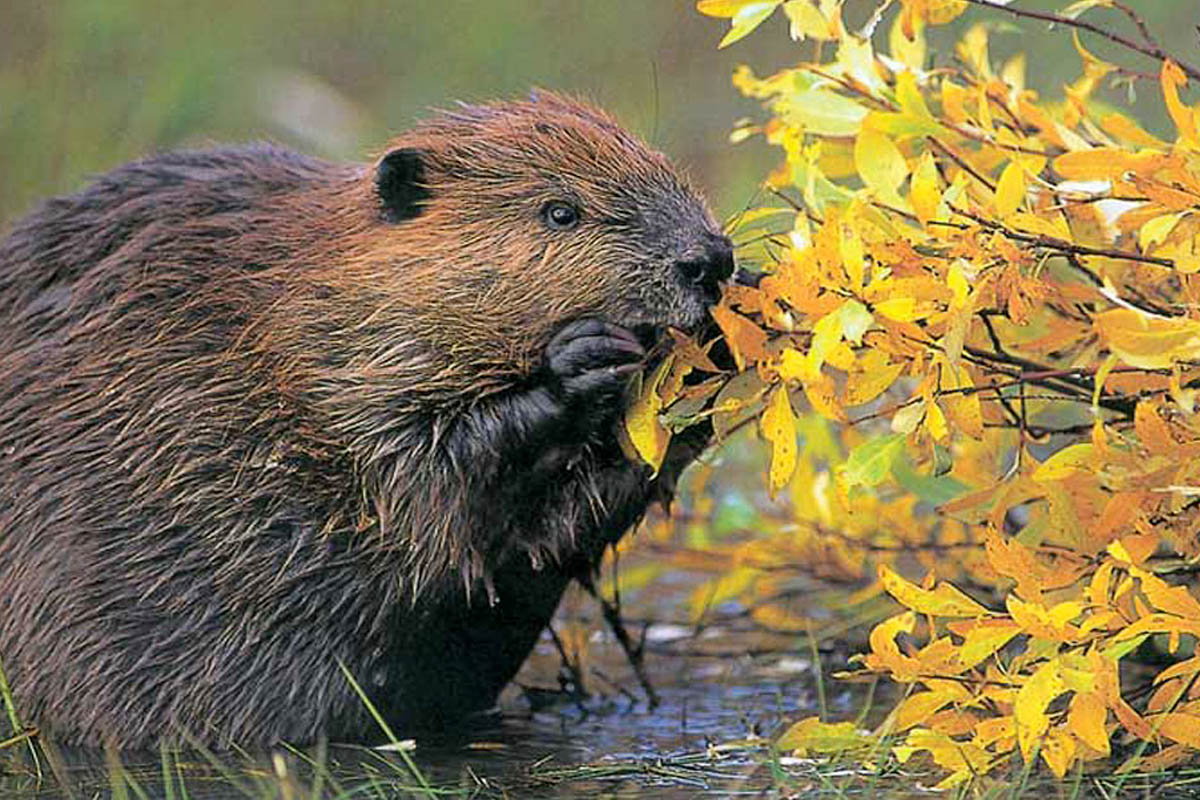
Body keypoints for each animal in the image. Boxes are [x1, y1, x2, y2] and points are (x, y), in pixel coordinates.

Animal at [0, 94, 729, 753]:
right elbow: (427, 484)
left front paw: (718, 349)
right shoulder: (320, 376)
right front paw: (580, 362)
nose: (710, 259)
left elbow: (554, 533)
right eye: (560, 211)